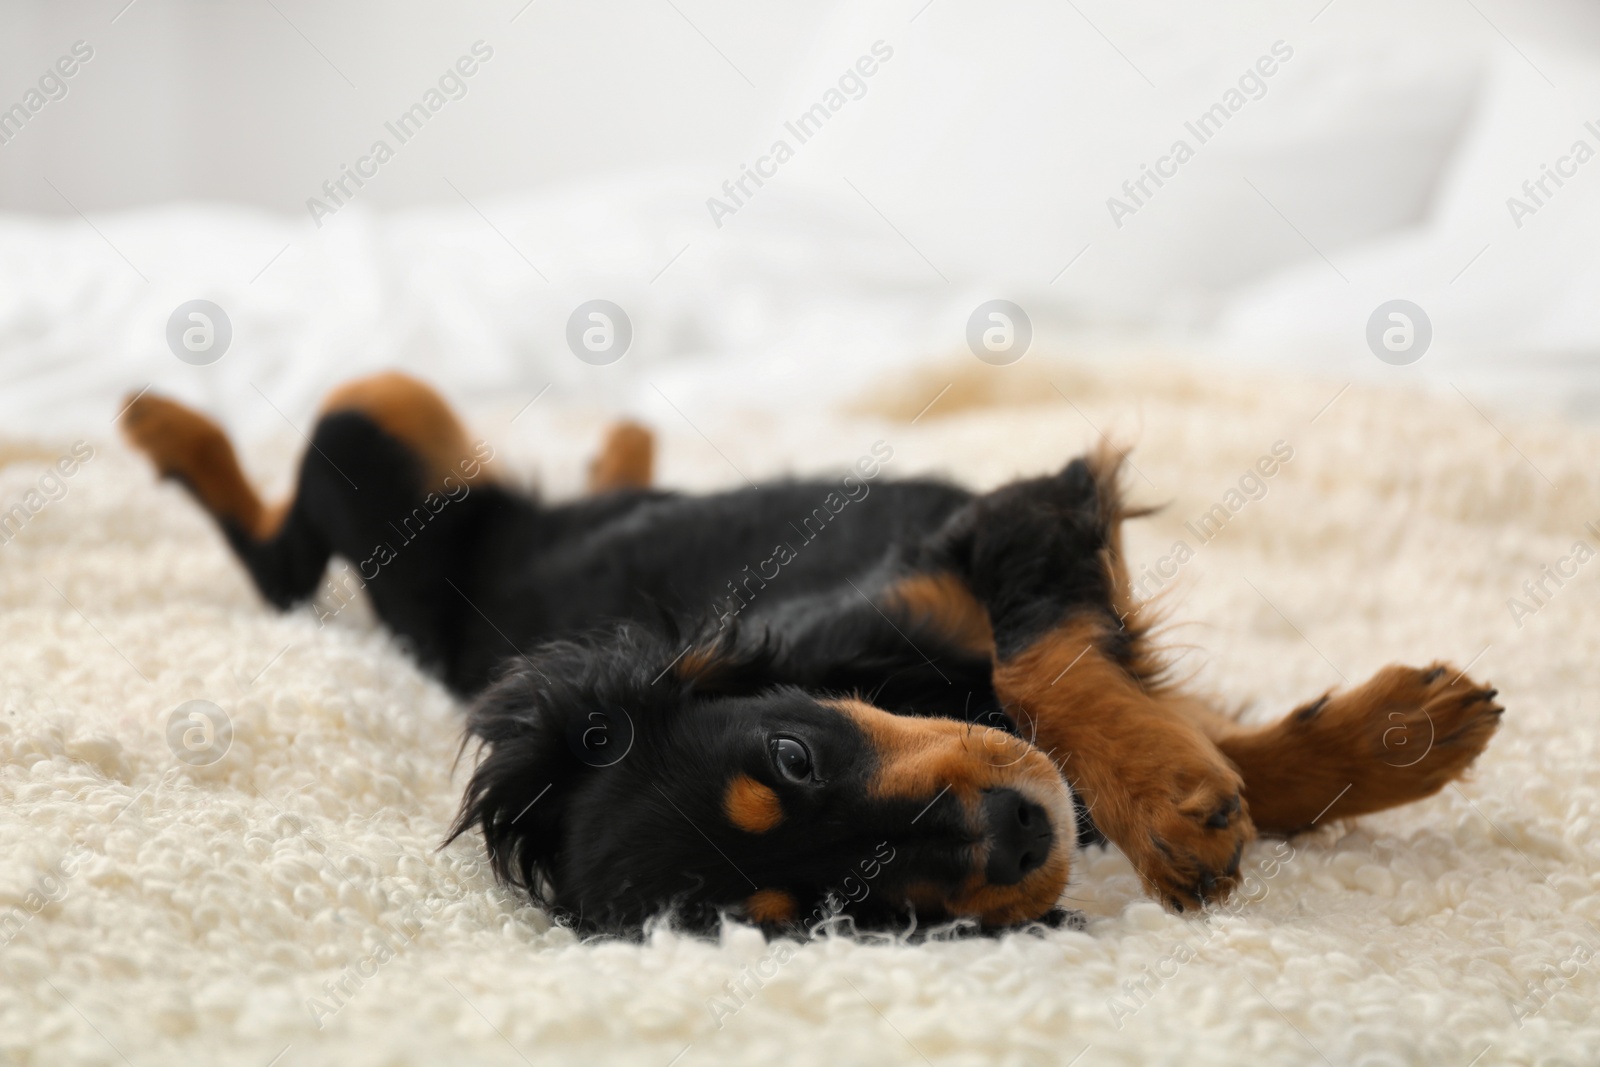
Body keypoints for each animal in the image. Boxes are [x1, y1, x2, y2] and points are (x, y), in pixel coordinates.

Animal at [118, 375, 1504, 934]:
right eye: (845, 914)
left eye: (791, 751)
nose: (1015, 839)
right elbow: (1134, 719)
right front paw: (1360, 749)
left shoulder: (1018, 515)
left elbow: (1043, 667)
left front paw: (1190, 797)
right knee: (282, 569)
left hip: (376, 431)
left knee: (286, 547)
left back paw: (161, 419)